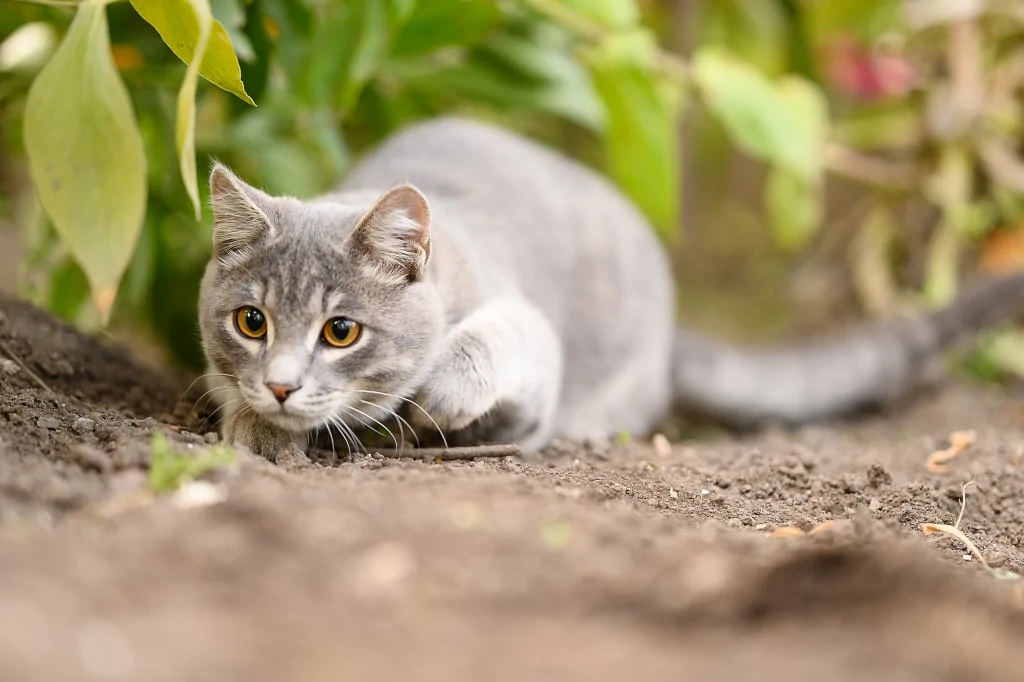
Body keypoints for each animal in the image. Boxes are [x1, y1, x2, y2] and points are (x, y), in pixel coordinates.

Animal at [197, 115, 1024, 456]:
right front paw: (256, 424)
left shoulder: (526, 330)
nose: (281, 386)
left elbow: (498, 341)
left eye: (341, 331)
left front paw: (442, 398)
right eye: (251, 321)